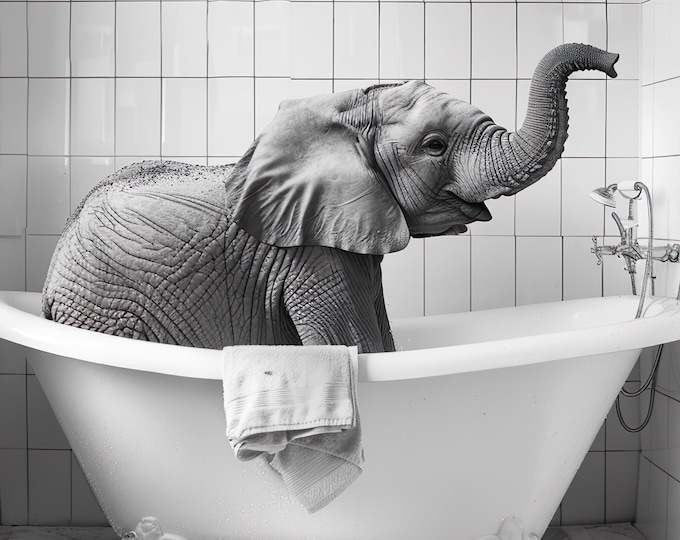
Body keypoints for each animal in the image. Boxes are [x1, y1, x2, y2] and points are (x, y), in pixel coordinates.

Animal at [42, 43, 619, 354]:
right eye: (434, 146)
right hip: (109, 310)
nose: (613, 59)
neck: (343, 111)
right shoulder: (310, 257)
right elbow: (358, 344)